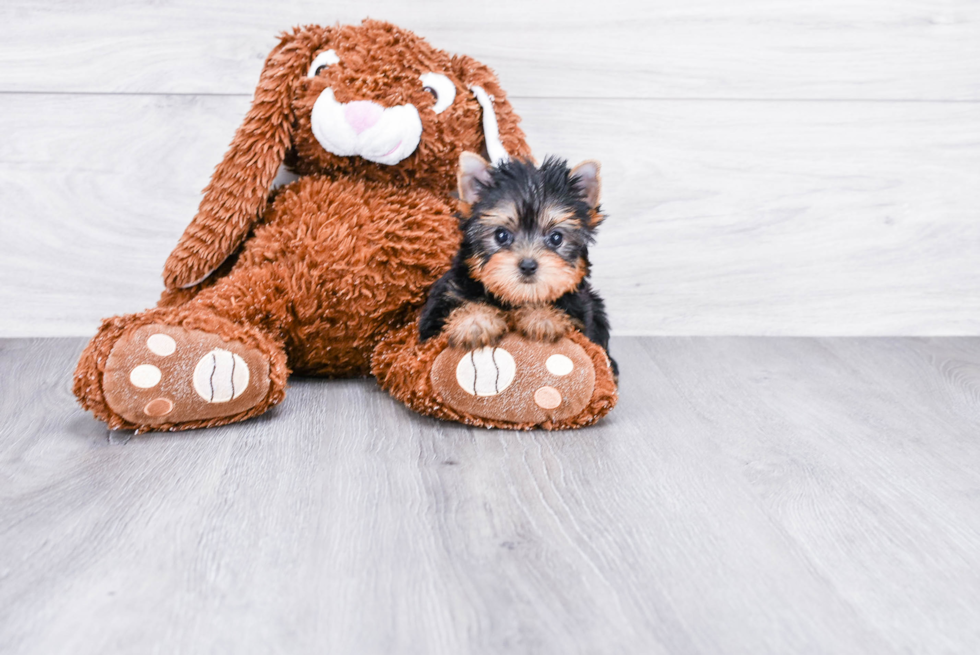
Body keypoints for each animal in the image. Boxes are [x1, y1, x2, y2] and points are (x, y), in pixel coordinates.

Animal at [418, 152, 616, 376]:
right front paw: (474, 321)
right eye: (501, 235)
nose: (528, 265)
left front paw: (542, 317)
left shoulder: (581, 315)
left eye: (556, 238)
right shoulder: (443, 300)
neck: (515, 298)